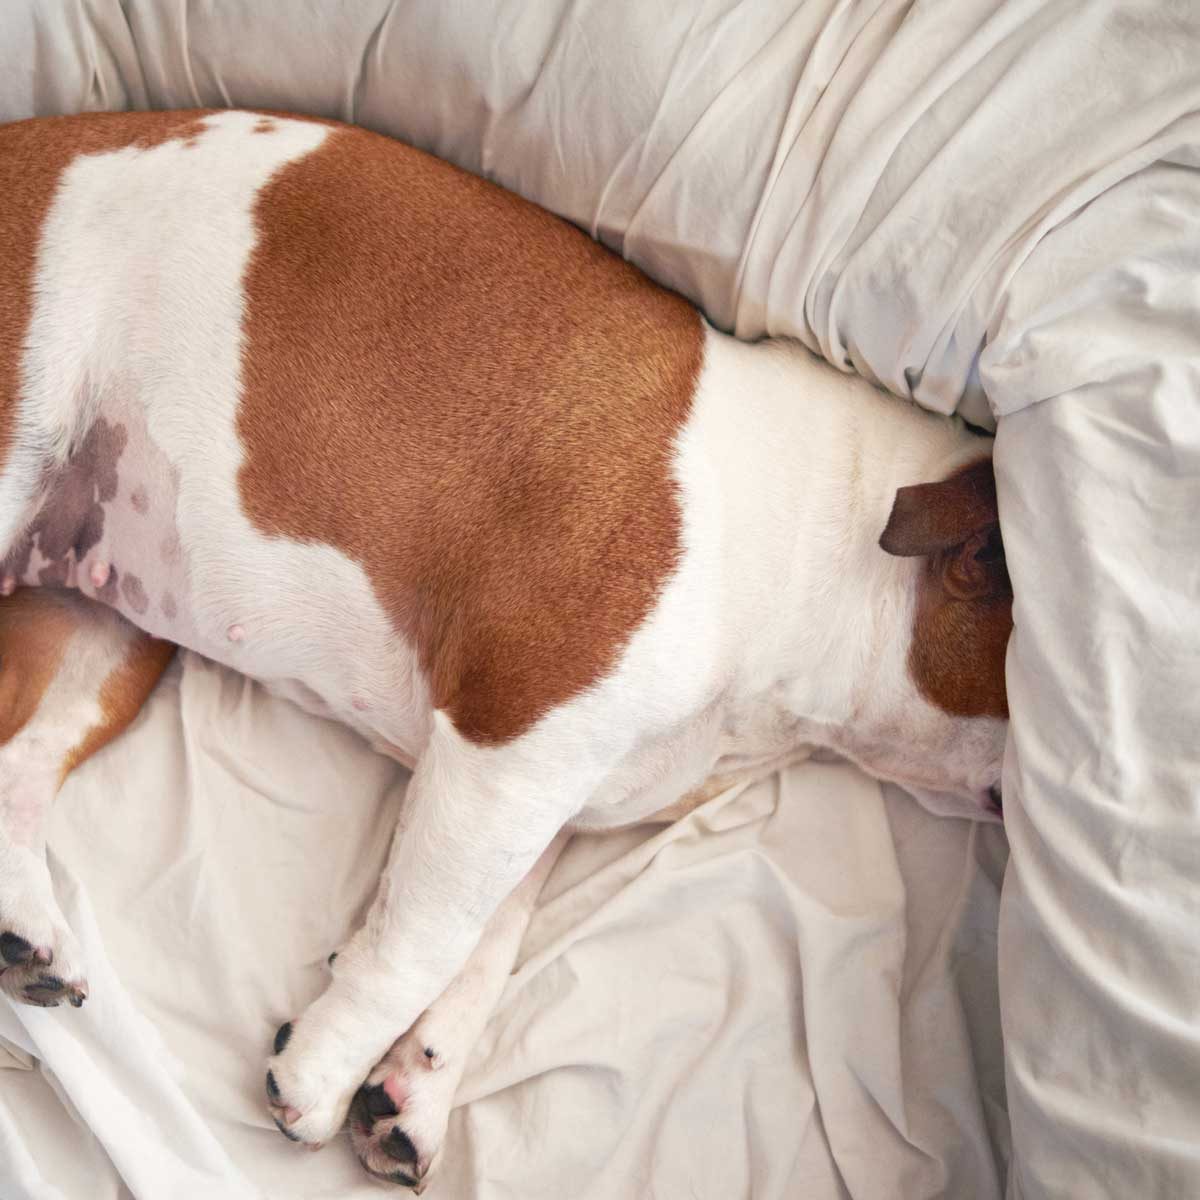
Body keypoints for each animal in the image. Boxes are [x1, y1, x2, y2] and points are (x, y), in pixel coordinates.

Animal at [0, 108, 1012, 1185]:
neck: (831, 555)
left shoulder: (531, 795)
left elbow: (488, 943)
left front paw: (414, 1091)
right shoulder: (510, 749)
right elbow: (426, 940)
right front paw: (320, 1072)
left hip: (108, 630)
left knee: (20, 761)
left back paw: (26, 930)